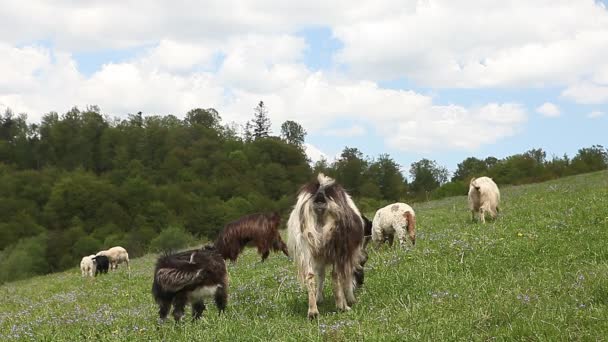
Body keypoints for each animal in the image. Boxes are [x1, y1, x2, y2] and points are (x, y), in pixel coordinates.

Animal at [286, 172, 364, 320]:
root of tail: (320, 194)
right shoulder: (348, 255)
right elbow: (347, 276)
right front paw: (350, 300)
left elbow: (320, 276)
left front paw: (319, 299)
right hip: (337, 244)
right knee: (335, 274)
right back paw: (342, 307)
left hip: (305, 243)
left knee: (310, 276)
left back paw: (313, 312)